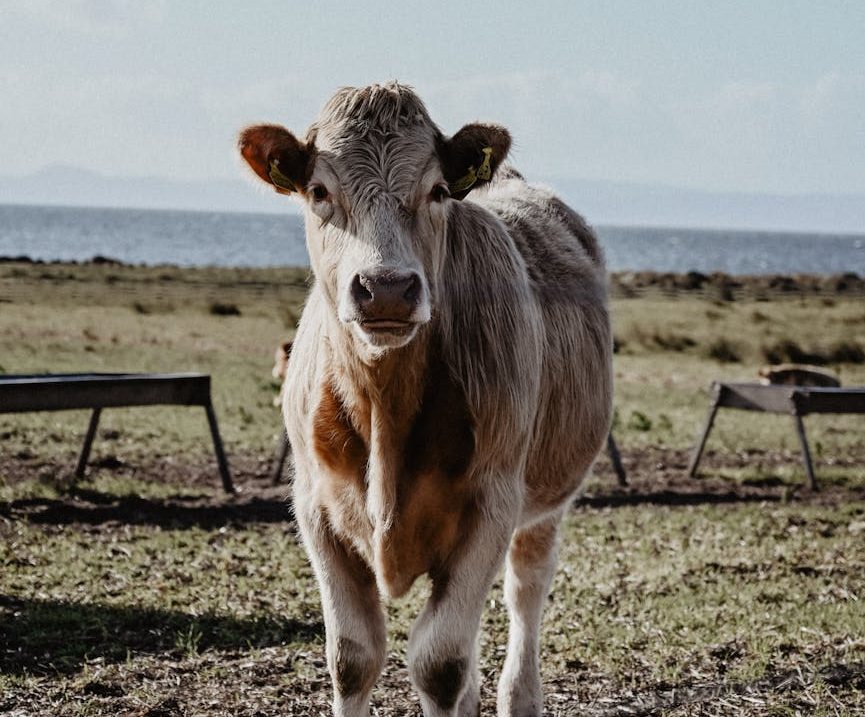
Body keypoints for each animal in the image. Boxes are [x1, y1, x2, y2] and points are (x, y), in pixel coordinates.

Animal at [238, 82, 613, 717]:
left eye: (437, 190)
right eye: (318, 191)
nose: (386, 287)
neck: (384, 409)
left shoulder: (491, 504)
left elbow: (439, 663)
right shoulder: (315, 507)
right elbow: (353, 657)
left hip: (544, 503)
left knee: (525, 591)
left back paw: (519, 694)